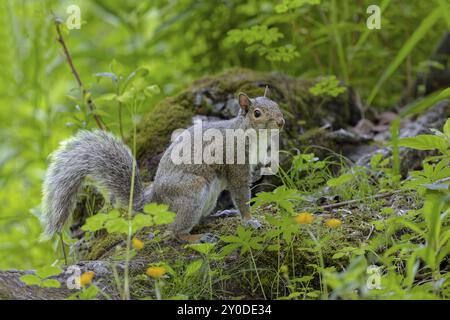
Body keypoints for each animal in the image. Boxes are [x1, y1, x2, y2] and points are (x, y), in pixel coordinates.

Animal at [41, 92, 282, 242]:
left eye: (277, 106)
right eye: (257, 113)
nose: (281, 122)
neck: (252, 135)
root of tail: (156, 198)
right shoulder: (235, 163)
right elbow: (241, 195)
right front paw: (250, 221)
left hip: (207, 197)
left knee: (199, 219)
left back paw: (220, 214)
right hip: (192, 192)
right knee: (174, 231)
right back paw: (195, 237)